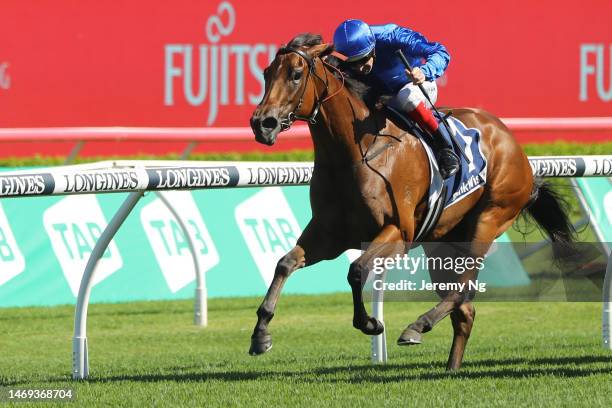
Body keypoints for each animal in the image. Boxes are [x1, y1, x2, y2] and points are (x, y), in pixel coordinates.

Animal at [247, 33, 572, 368]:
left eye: (296, 74)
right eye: (266, 73)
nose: (263, 123)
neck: (355, 151)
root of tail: (511, 141)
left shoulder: (398, 233)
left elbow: (356, 270)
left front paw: (370, 323)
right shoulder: (328, 234)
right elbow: (285, 263)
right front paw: (261, 334)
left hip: (490, 218)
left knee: (462, 289)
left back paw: (417, 326)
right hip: (442, 243)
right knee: (464, 310)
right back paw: (450, 367)